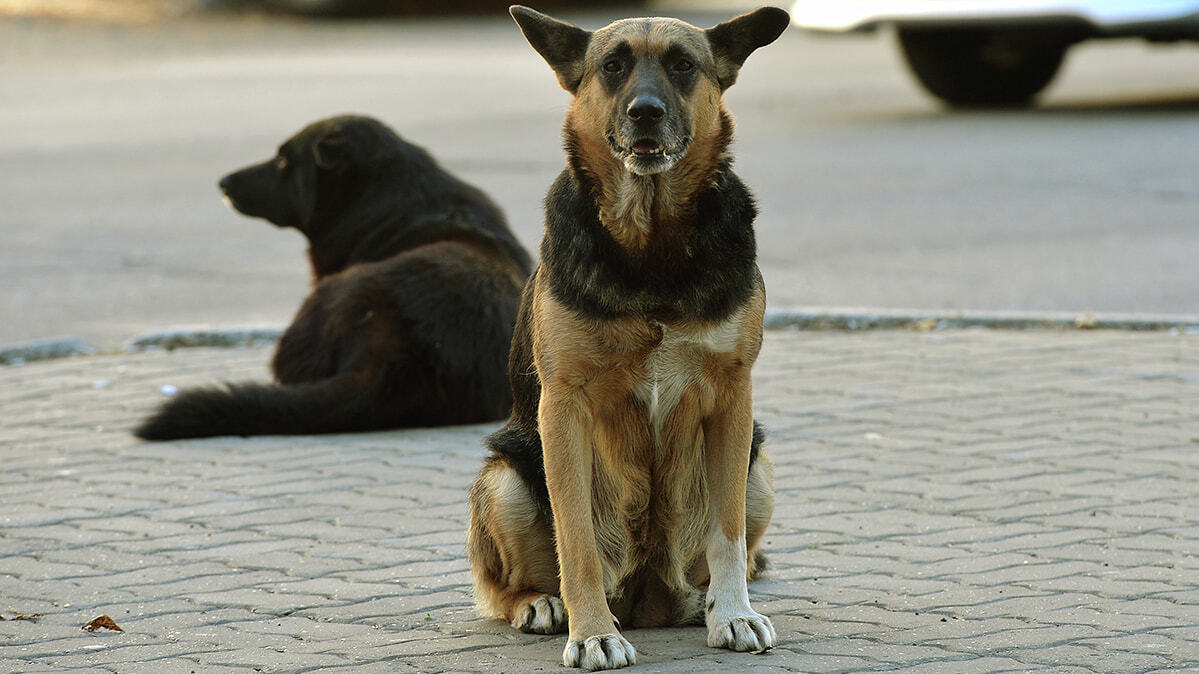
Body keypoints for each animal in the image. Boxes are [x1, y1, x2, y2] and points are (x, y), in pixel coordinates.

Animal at [470, 5, 796, 666]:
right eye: (613, 66)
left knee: (737, 548)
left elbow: (727, 532)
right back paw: (543, 604)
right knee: (504, 585)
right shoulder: (563, 410)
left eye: (683, 65)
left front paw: (735, 613)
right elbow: (575, 540)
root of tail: (650, 601)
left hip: (759, 465)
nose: (645, 110)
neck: (652, 241)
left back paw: (707, 602)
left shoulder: (733, 400)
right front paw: (593, 631)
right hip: (505, 479)